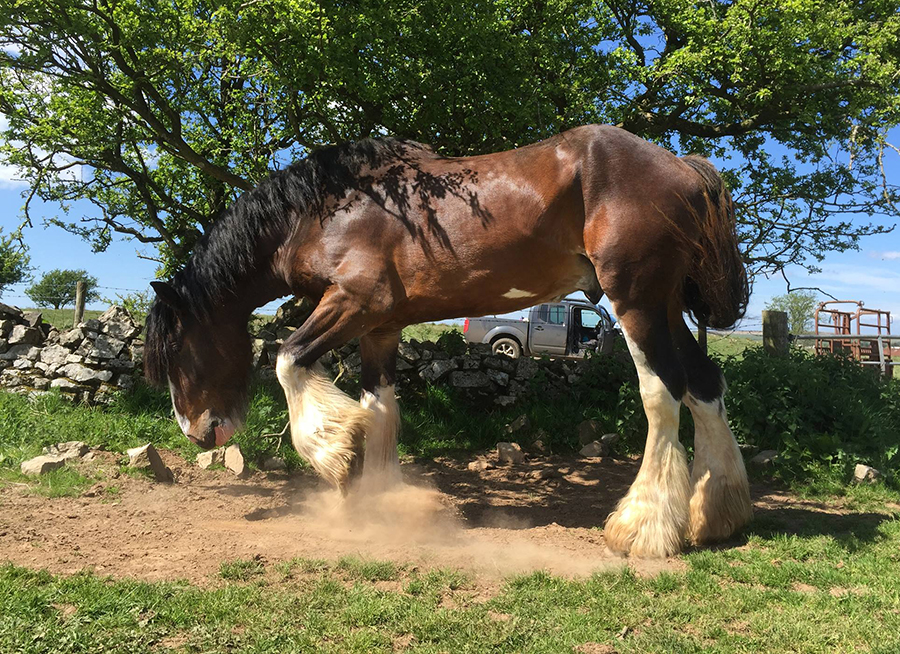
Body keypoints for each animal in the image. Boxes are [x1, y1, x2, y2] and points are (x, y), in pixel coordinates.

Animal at [144, 125, 752, 560]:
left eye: (178, 352)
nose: (198, 433)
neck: (325, 212)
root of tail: (683, 168)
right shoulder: (381, 327)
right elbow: (380, 408)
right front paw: (380, 502)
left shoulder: (354, 303)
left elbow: (289, 361)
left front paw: (335, 456)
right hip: (666, 305)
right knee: (705, 386)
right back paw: (717, 516)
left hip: (637, 301)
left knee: (663, 393)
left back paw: (643, 529)